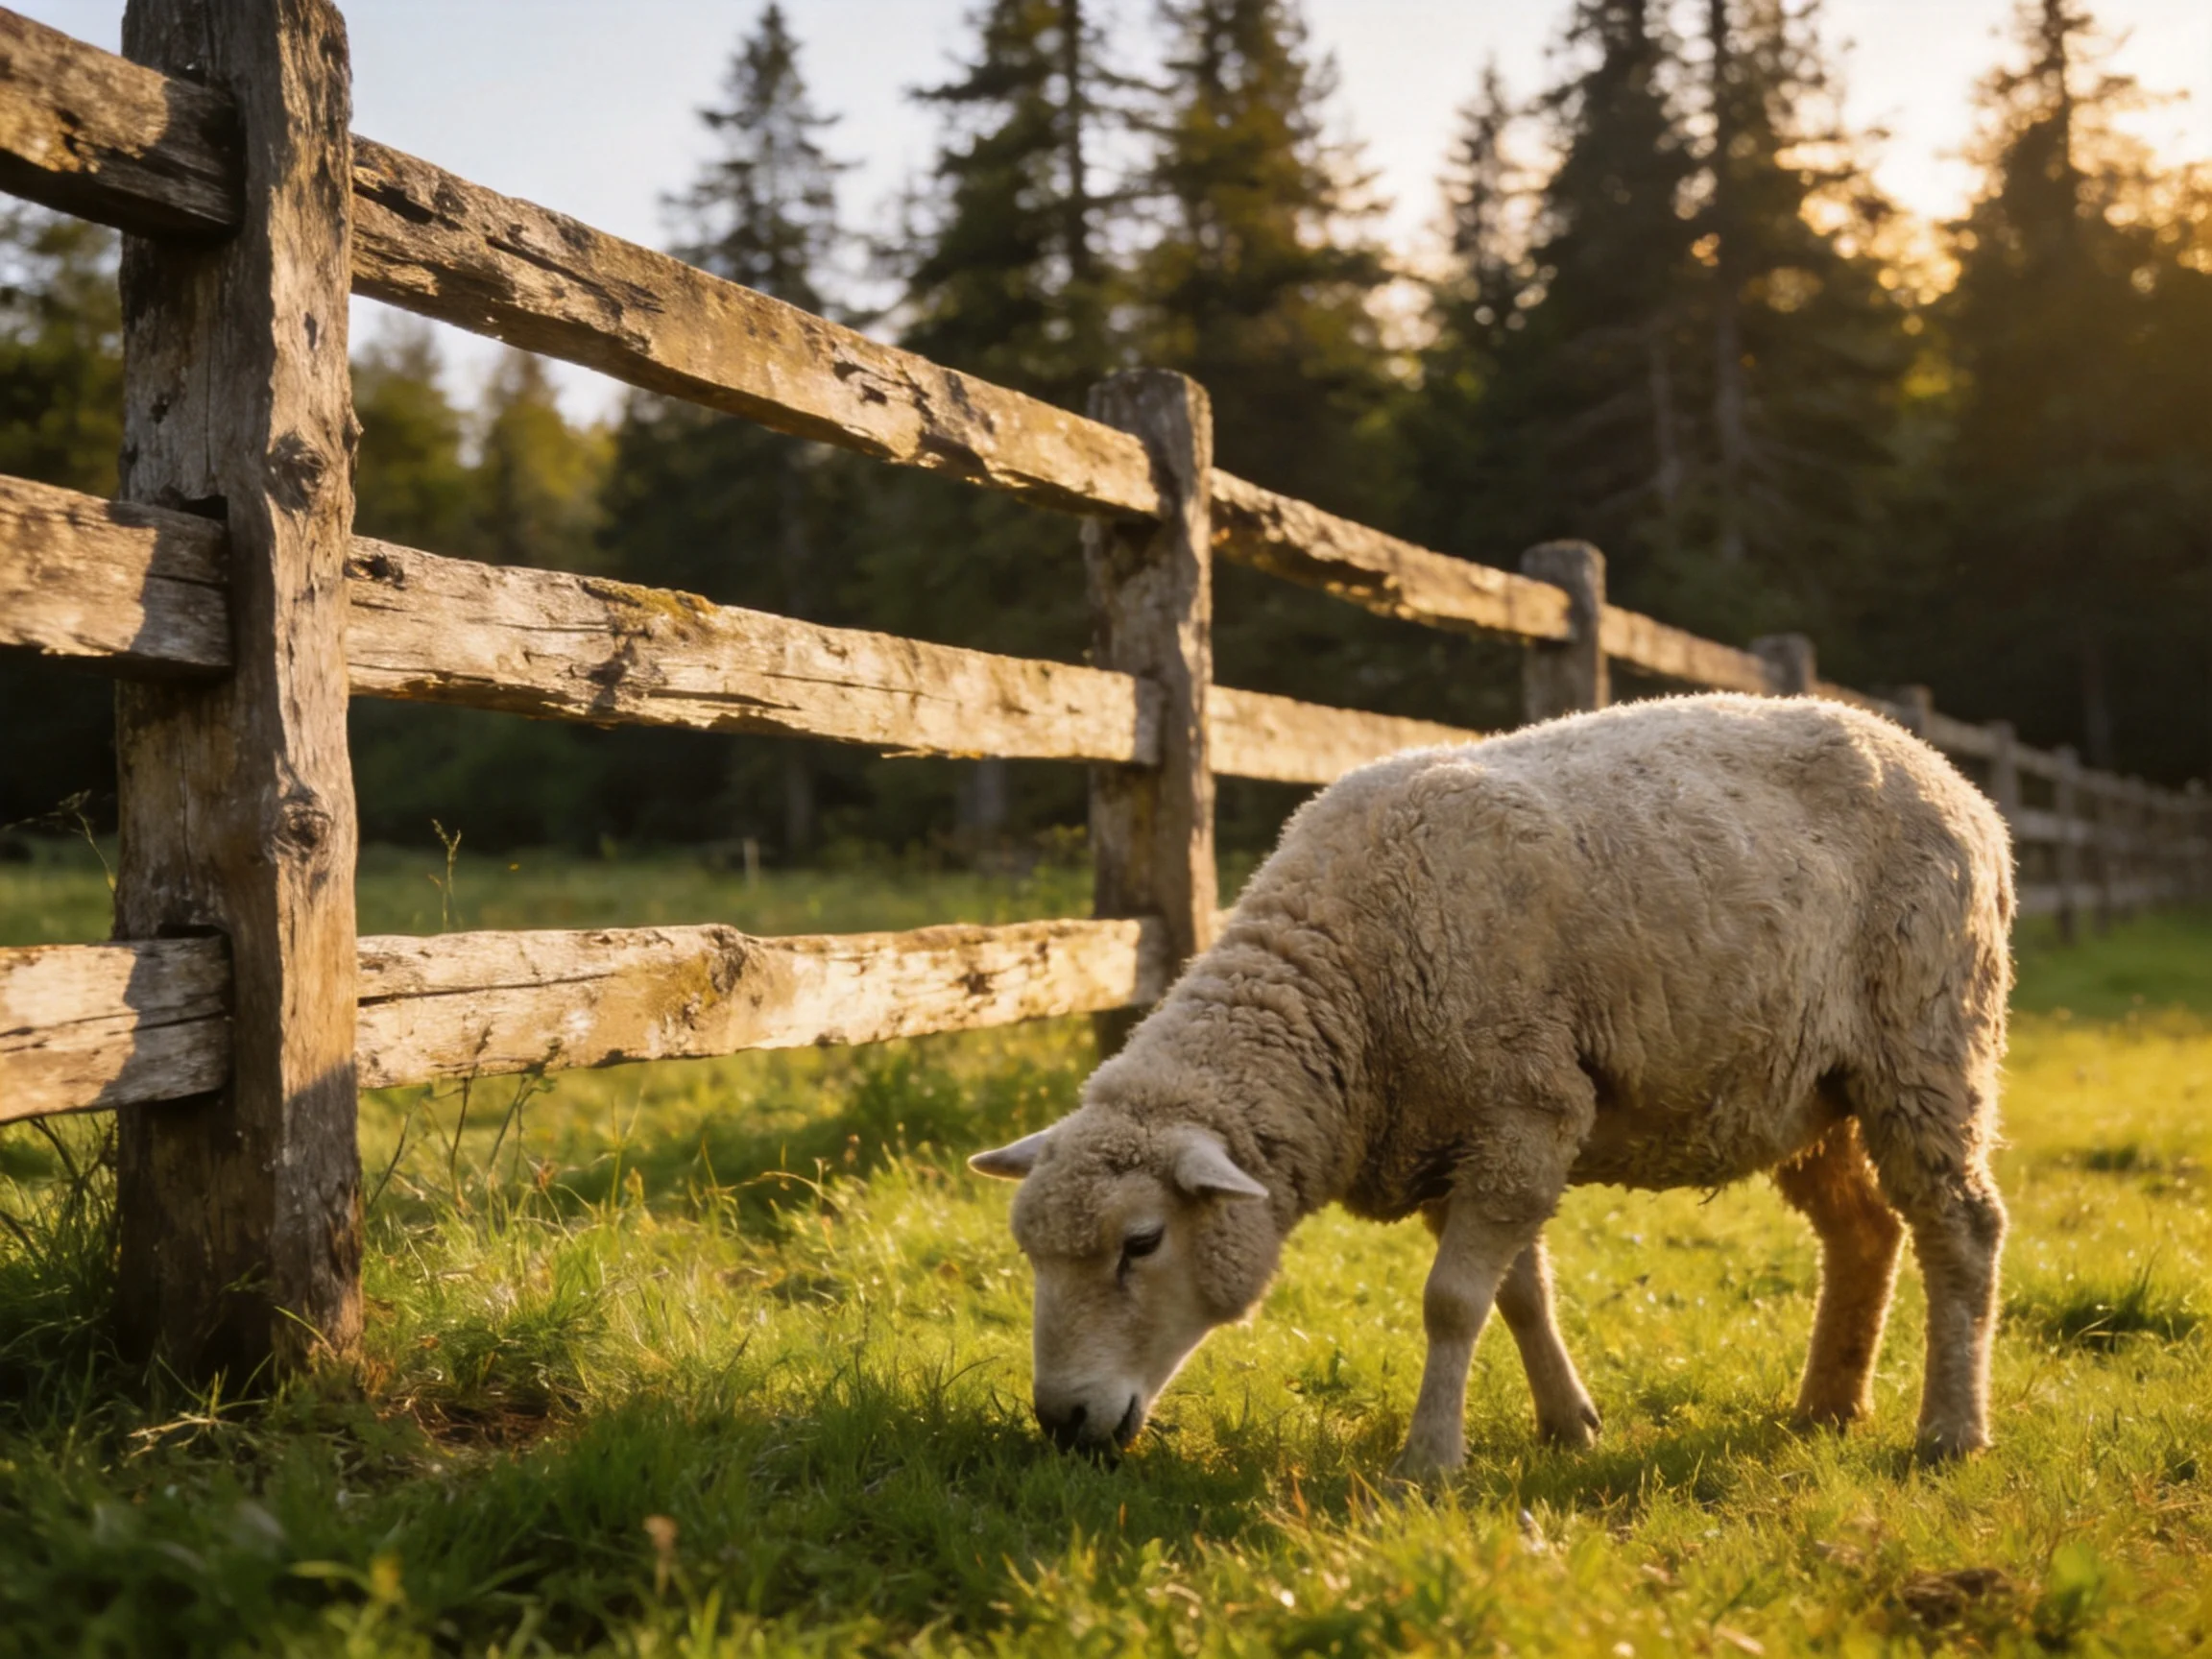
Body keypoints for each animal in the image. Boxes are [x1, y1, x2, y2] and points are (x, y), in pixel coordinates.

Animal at [971, 692, 2014, 1476]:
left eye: (1141, 1243)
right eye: (1030, 1252)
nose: (1061, 1421)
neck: (1350, 981)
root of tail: (1955, 782)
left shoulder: (1525, 1109)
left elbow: (1451, 1302)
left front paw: (1429, 1463)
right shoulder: (1452, 1139)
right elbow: (1517, 1296)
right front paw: (1569, 1425)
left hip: (1926, 1042)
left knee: (1960, 1227)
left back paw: (1949, 1434)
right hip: (1809, 1090)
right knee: (1866, 1231)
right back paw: (1827, 1407)